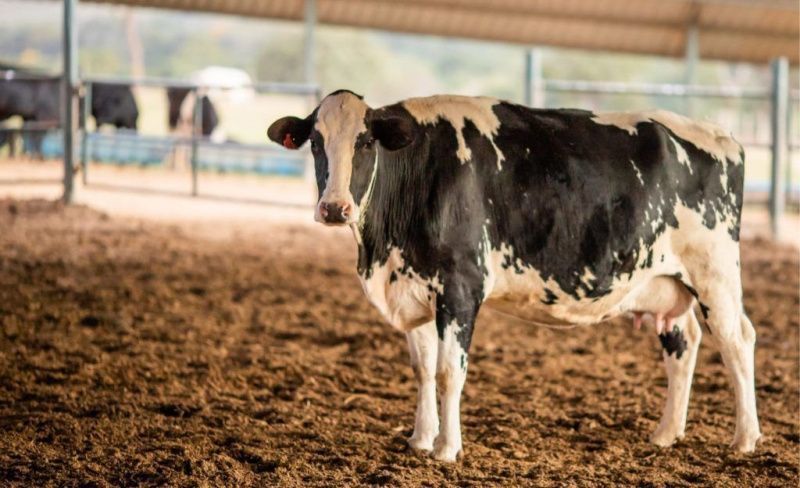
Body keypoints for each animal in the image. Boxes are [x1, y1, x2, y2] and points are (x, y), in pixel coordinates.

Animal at [267, 90, 761, 462]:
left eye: (366, 143)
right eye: (315, 143)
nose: (334, 208)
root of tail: (721, 135)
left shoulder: (460, 288)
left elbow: (448, 371)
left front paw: (447, 449)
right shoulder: (413, 287)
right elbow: (422, 368)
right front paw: (421, 439)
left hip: (714, 271)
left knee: (737, 340)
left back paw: (745, 439)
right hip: (664, 280)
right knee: (685, 342)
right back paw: (666, 434)